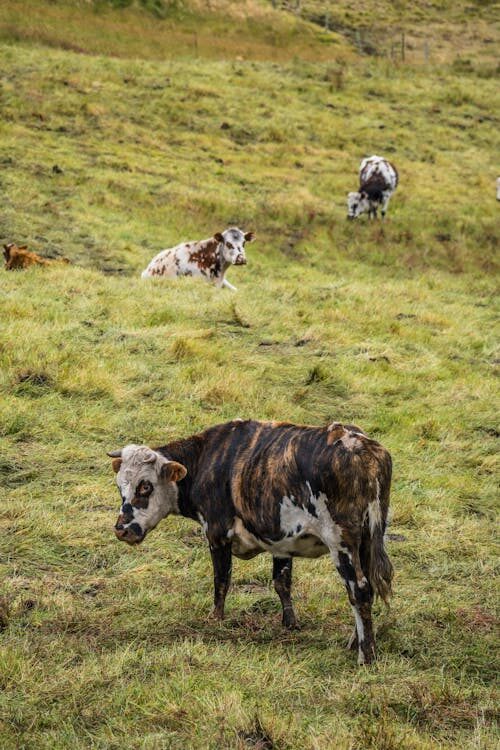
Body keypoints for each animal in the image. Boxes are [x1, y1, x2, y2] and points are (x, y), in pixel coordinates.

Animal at [107, 419, 394, 665]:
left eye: (145, 486)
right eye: (120, 487)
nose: (121, 530)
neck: (207, 459)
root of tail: (363, 448)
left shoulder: (217, 533)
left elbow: (222, 581)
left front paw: (216, 619)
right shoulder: (282, 538)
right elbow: (281, 582)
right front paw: (290, 623)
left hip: (341, 542)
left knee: (359, 590)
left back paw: (366, 655)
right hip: (367, 540)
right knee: (368, 586)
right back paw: (354, 642)